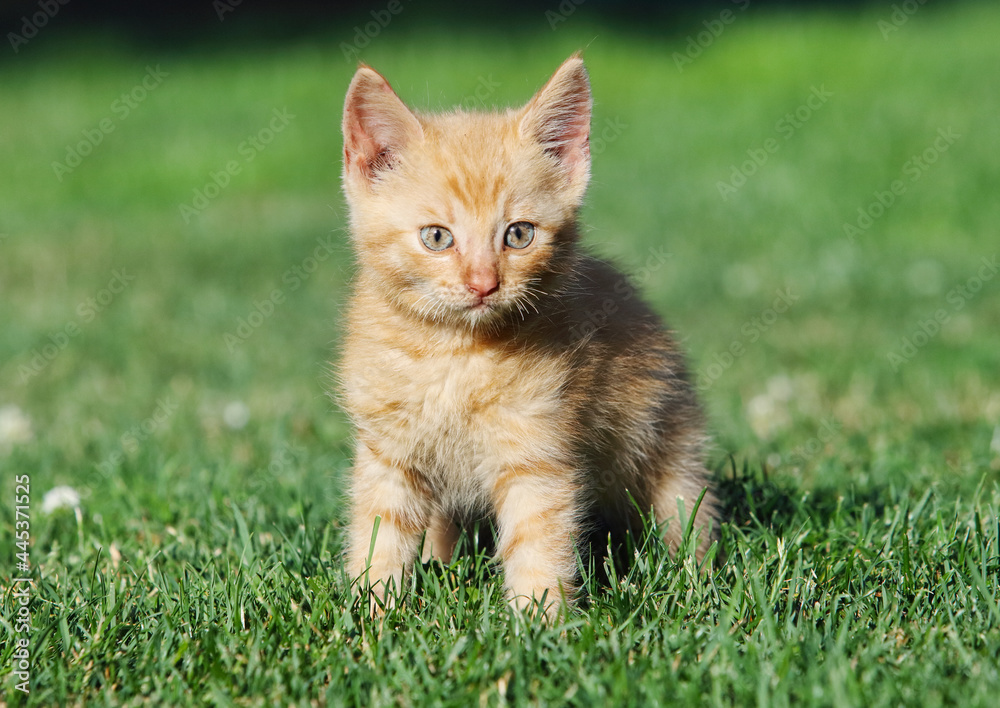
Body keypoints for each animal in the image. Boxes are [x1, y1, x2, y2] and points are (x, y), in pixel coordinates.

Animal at [340, 54, 716, 620]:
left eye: (518, 234)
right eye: (437, 237)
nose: (483, 283)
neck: (455, 354)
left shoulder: (538, 452)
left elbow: (537, 540)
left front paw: (538, 624)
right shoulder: (390, 454)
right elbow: (380, 533)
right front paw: (373, 613)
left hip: (669, 434)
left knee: (686, 510)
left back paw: (693, 578)